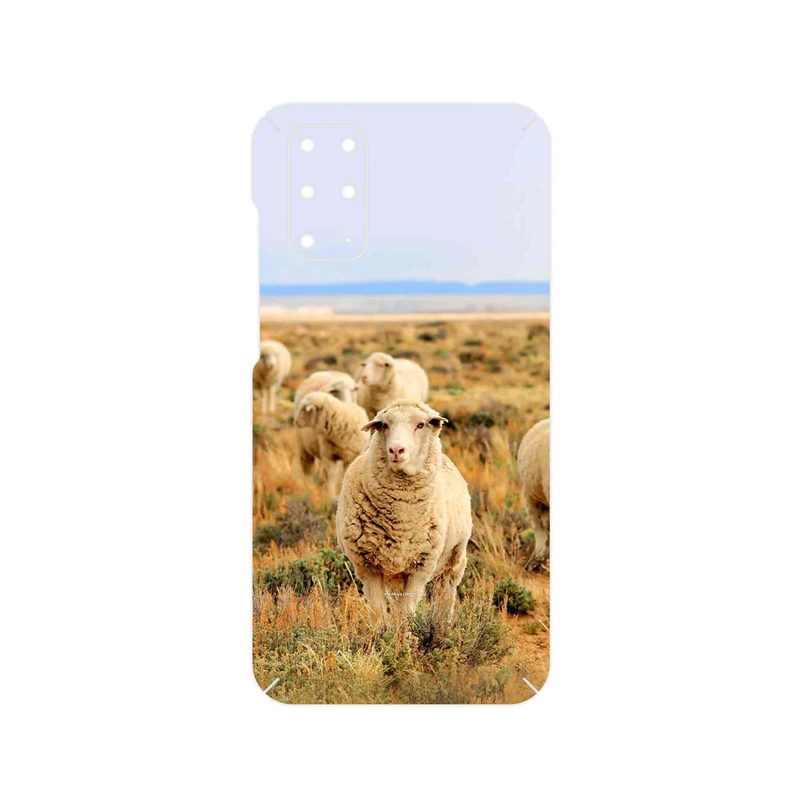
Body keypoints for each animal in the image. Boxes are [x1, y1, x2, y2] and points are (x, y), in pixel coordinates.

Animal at [336, 399, 472, 623]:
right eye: (384, 425)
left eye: (421, 425)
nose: (396, 450)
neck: (401, 518)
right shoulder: (367, 566)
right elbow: (379, 613)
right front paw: (383, 632)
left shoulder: (420, 567)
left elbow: (406, 613)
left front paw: (405, 632)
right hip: (396, 573)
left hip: (454, 558)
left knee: (446, 591)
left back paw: (442, 624)